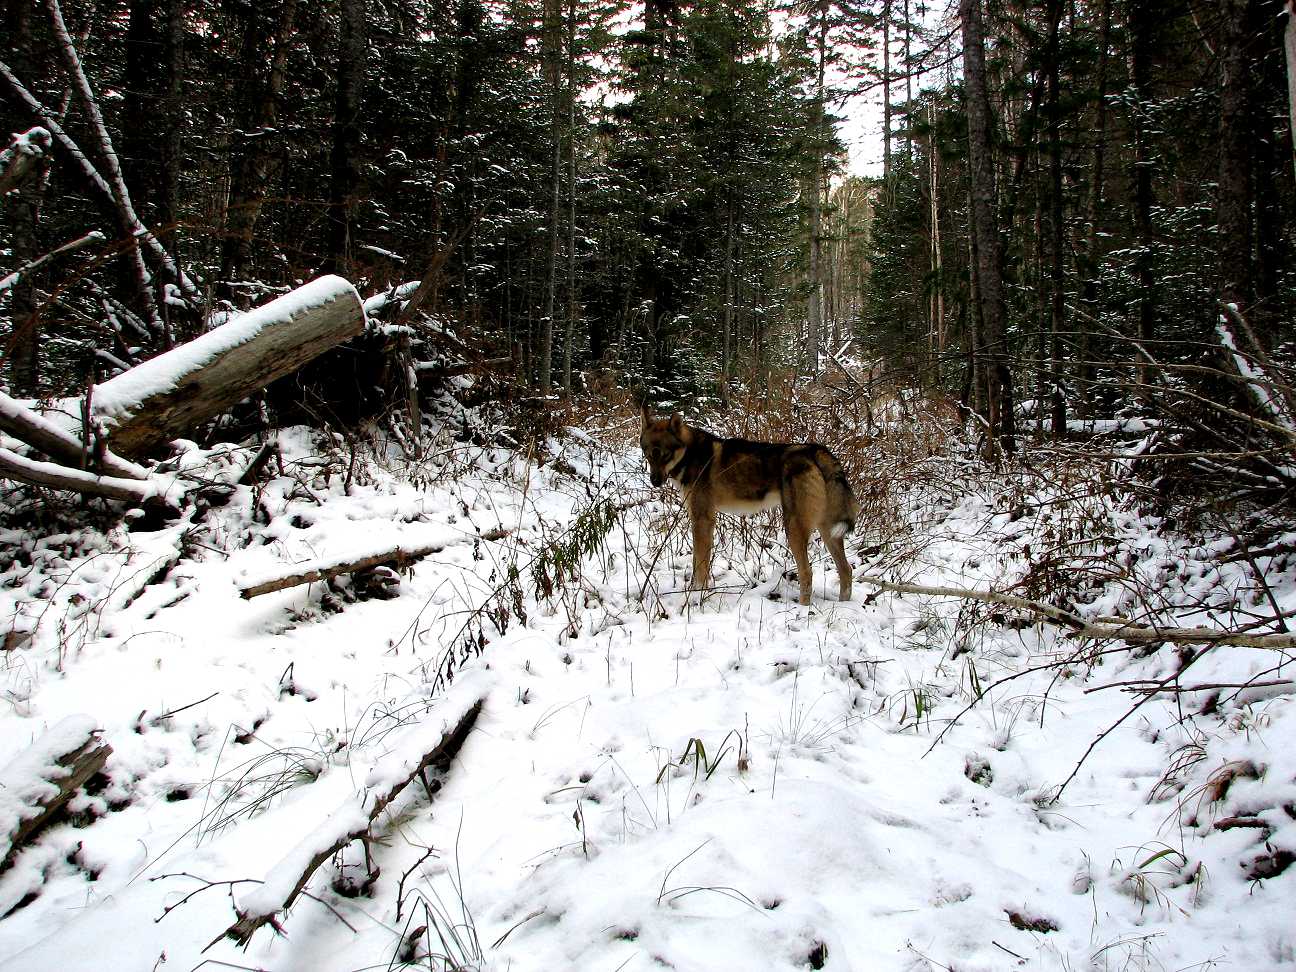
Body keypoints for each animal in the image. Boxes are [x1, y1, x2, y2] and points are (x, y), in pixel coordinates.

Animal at [640, 404, 860, 606]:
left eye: (665, 455)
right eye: (648, 454)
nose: (654, 481)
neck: (691, 454)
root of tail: (814, 450)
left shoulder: (703, 520)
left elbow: (701, 567)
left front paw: (696, 596)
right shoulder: (700, 520)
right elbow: (697, 562)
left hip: (794, 529)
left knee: (807, 572)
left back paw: (803, 608)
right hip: (827, 530)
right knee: (846, 570)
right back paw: (844, 605)